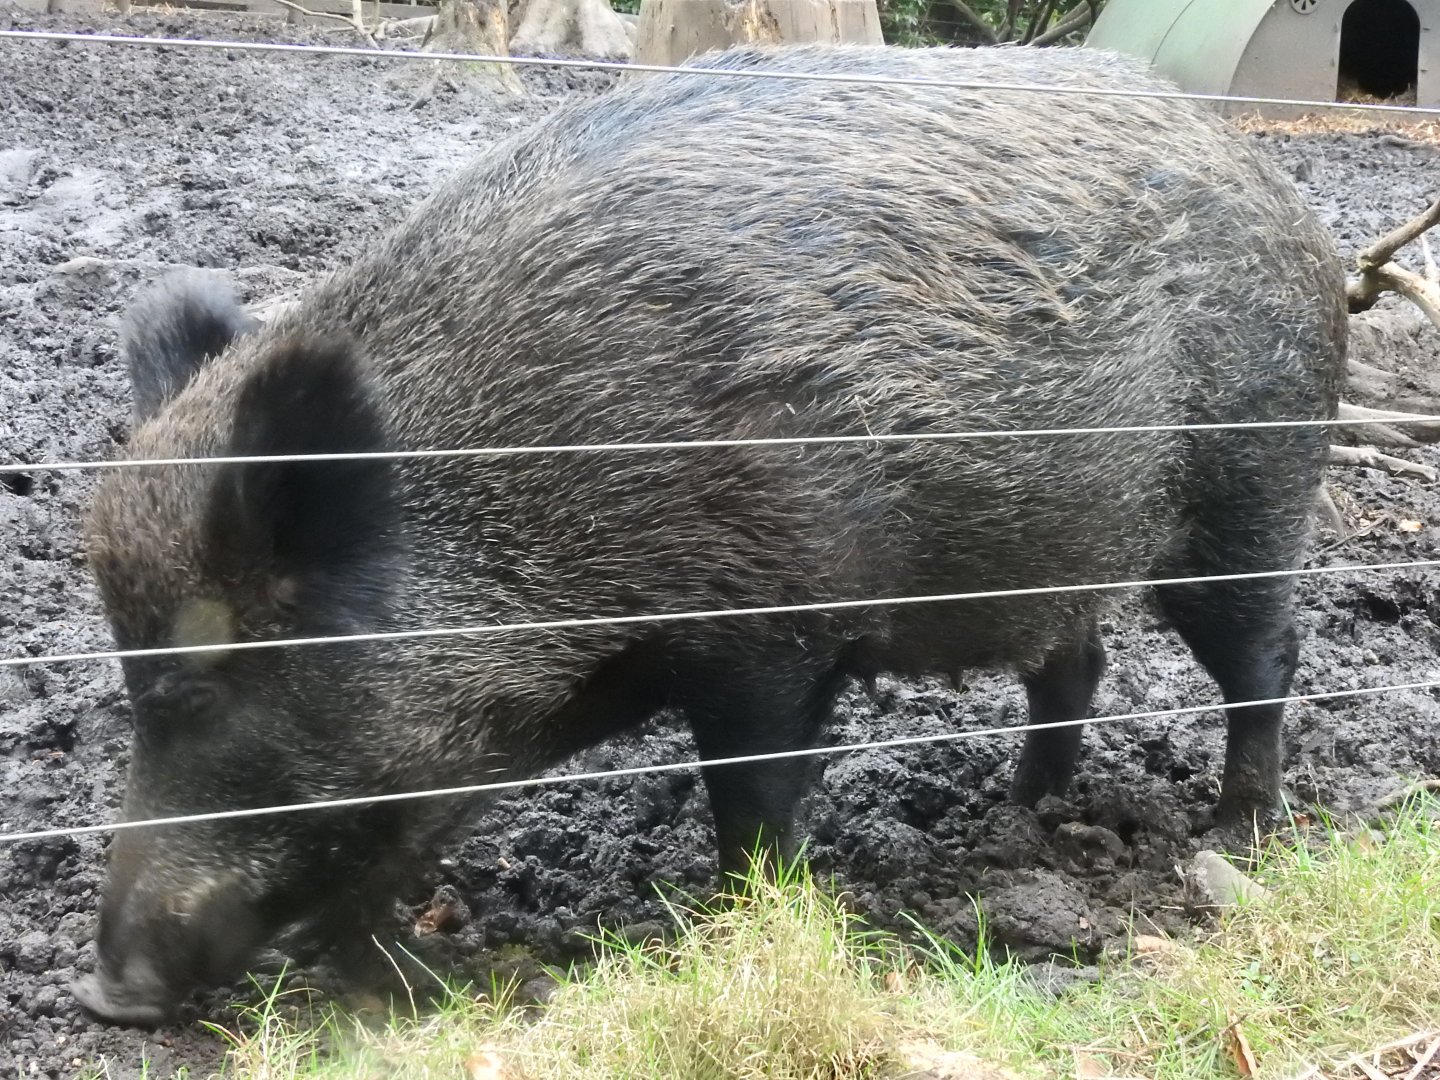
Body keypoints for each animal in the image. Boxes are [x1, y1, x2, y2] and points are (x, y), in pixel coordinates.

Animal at [72, 42, 1346, 1024]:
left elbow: (752, 797)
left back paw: (1237, 835)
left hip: (1249, 486)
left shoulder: (772, 628)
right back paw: (1017, 814)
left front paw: (734, 925)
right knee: (1074, 658)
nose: (108, 996)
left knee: (1263, 654)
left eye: (201, 680)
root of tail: (1282, 190)